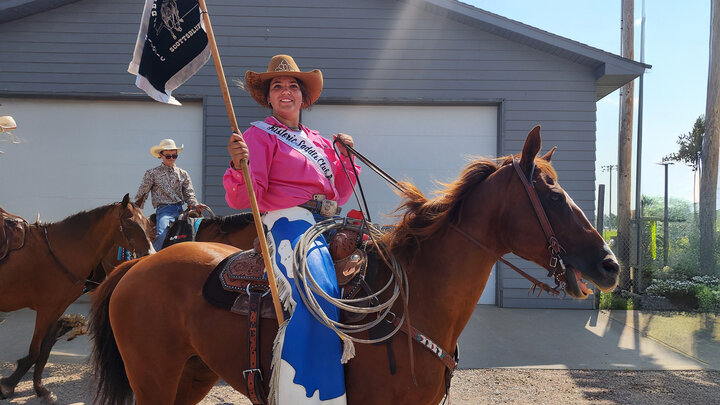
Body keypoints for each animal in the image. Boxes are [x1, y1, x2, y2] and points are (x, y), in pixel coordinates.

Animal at [0, 194, 155, 402]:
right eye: (129, 222)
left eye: (146, 223)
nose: (149, 255)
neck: (60, 251)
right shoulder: (46, 309)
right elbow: (35, 352)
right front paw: (8, 385)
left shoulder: (56, 309)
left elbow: (44, 350)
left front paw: (40, 388)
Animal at [88, 129, 620, 404]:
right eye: (553, 196)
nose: (610, 265)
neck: (415, 304)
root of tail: (138, 267)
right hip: (153, 379)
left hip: (192, 375)